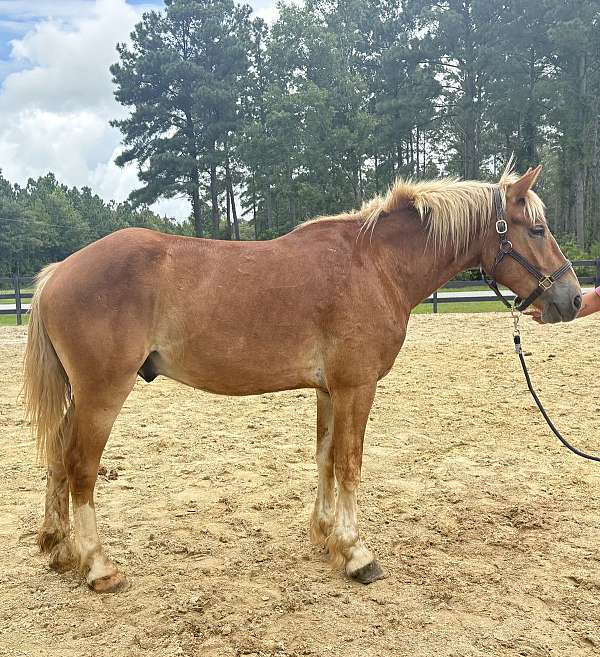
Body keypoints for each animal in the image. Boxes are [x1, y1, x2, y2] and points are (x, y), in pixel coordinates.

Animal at [23, 164, 581, 592]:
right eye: (535, 229)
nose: (573, 298)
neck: (376, 265)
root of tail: (57, 273)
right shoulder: (357, 387)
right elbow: (350, 464)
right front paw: (357, 554)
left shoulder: (330, 390)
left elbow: (325, 458)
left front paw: (326, 535)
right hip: (102, 394)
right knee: (80, 467)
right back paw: (98, 567)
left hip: (82, 396)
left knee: (56, 454)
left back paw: (59, 549)